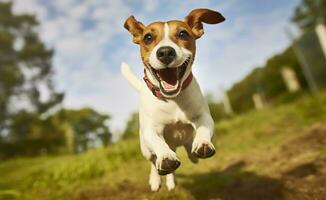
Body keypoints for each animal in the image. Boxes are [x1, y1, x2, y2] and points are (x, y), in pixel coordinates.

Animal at [121, 9, 225, 191]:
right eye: (148, 37)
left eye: (183, 34)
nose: (165, 52)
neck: (172, 100)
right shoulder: (151, 130)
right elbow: (158, 143)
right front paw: (165, 158)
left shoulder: (202, 116)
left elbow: (204, 129)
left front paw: (203, 143)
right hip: (145, 149)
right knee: (153, 162)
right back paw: (156, 179)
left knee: (188, 148)